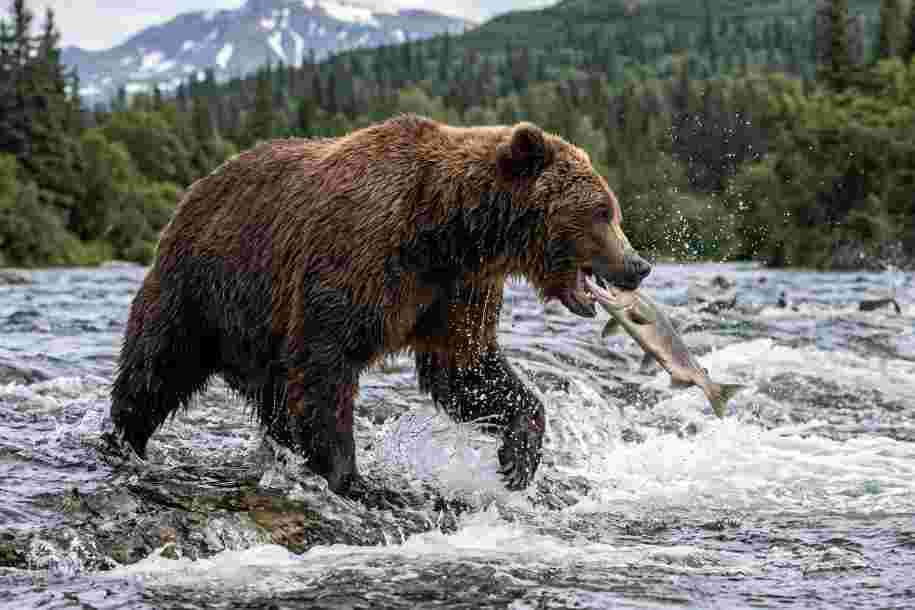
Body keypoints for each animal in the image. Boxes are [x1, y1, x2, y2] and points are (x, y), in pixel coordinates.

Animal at [109, 115, 651, 496]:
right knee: (156, 365)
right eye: (602, 211)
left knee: (271, 394)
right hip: (203, 287)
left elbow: (467, 369)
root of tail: (196, 188)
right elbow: (327, 362)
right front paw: (354, 479)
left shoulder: (456, 291)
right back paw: (124, 440)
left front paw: (517, 457)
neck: (449, 231)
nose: (639, 264)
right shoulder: (360, 258)